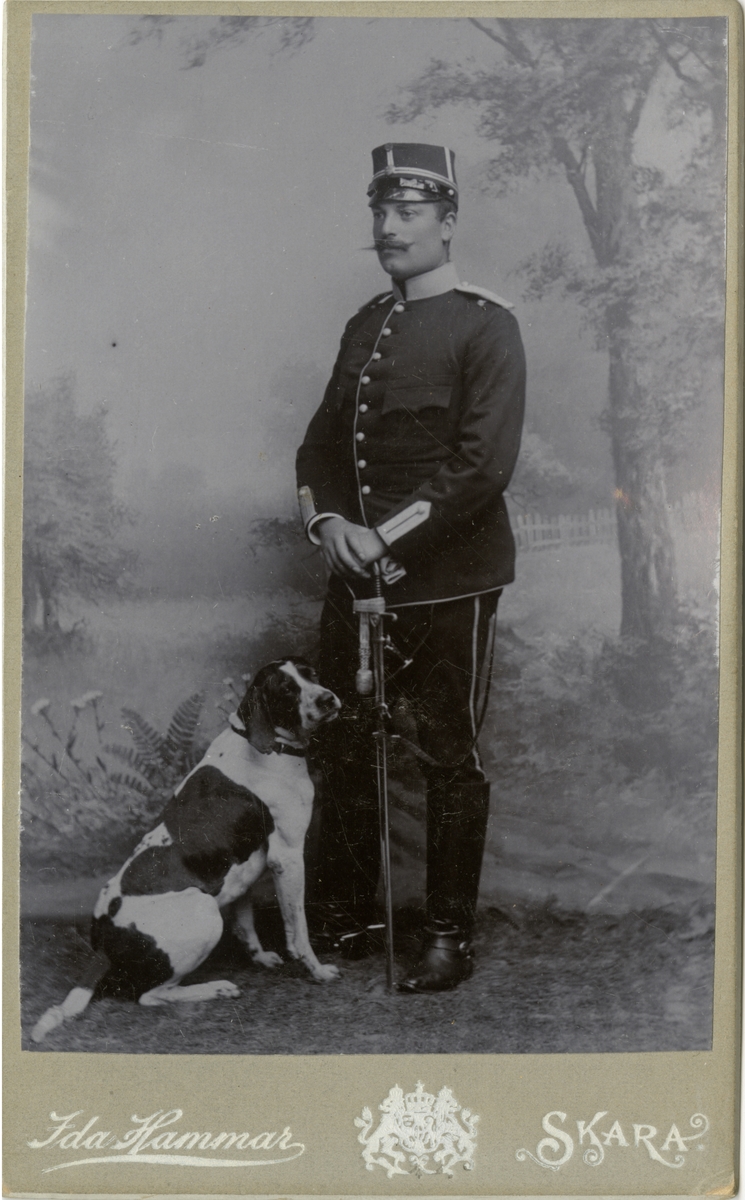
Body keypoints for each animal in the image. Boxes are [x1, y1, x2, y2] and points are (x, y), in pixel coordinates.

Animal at [31, 658, 342, 1043]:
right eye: (286, 689)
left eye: (311, 674)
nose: (327, 699)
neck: (266, 746)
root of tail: (103, 945)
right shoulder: (287, 857)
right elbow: (299, 930)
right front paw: (317, 970)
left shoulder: (244, 869)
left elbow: (245, 922)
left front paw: (260, 957)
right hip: (204, 910)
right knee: (151, 996)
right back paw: (216, 987)